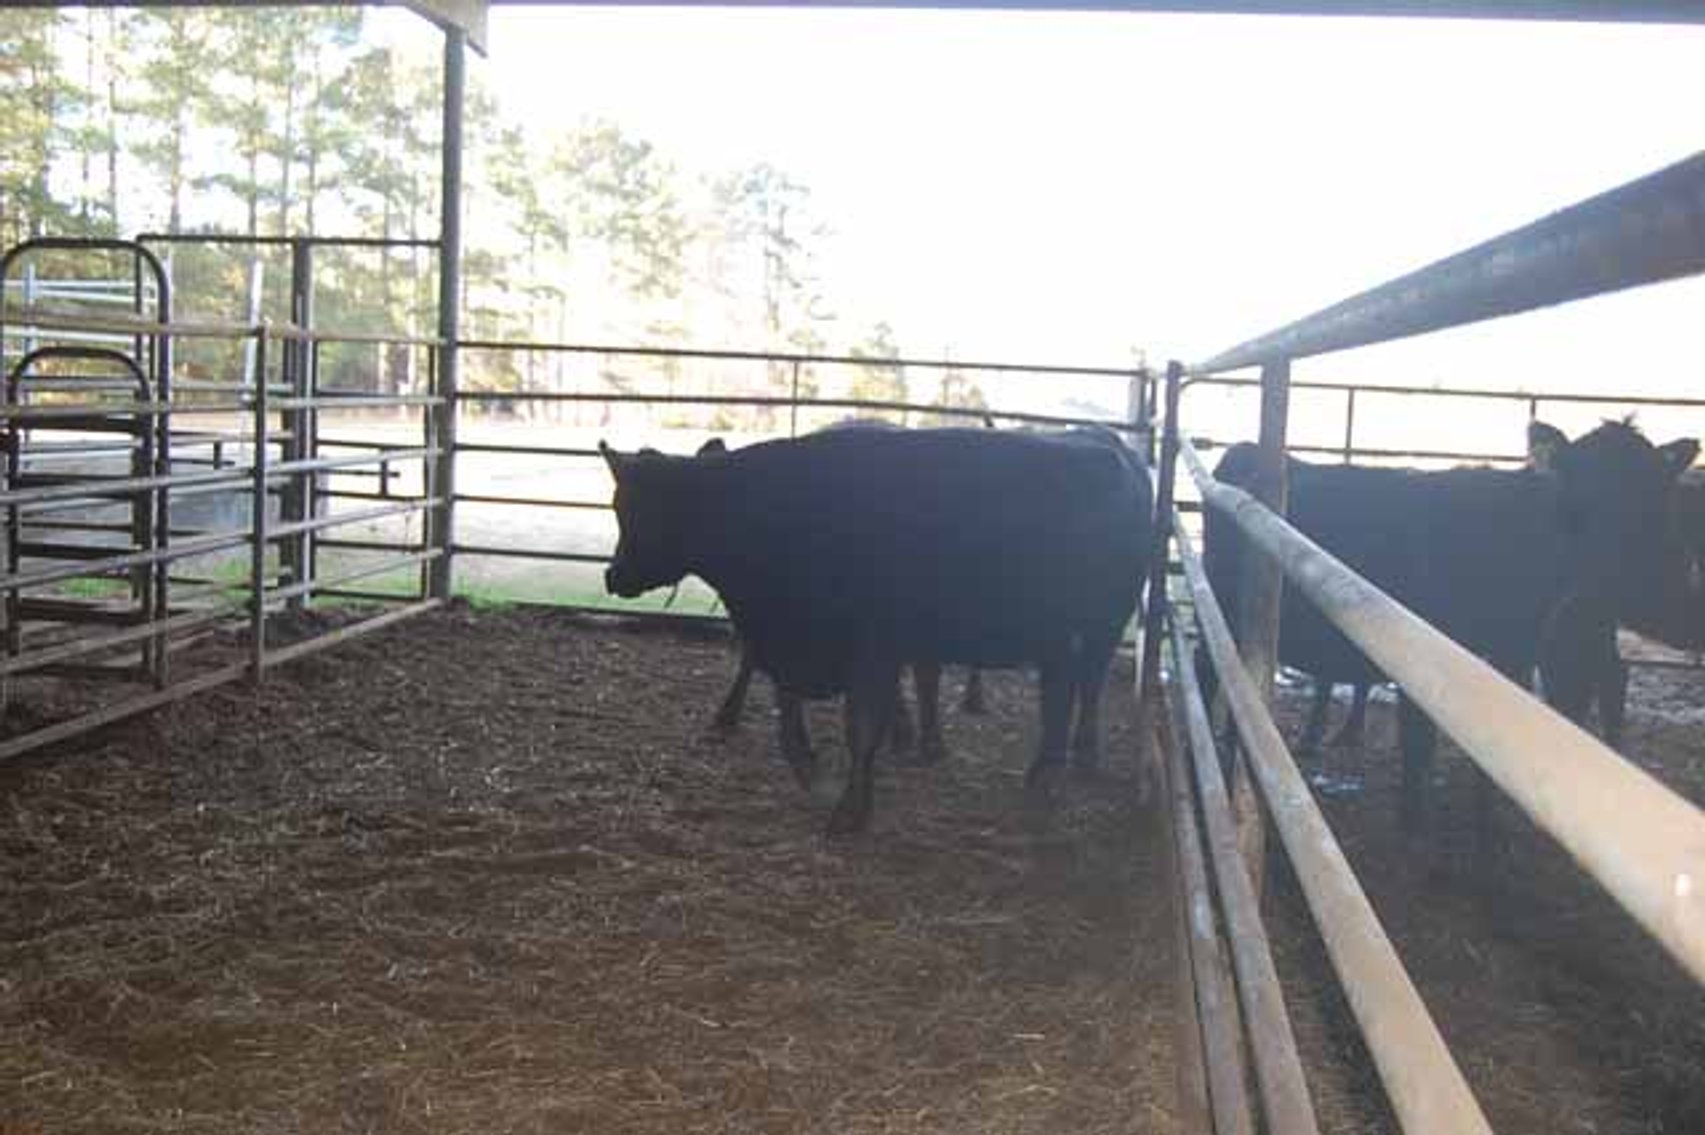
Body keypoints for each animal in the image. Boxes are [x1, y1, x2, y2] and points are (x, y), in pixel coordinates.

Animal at [602, 425, 1152, 835]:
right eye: (618, 506)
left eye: (636, 510)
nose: (613, 575)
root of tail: (1112, 447)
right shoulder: (792, 640)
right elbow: (788, 711)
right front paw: (814, 770)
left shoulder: (874, 645)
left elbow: (861, 726)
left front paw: (848, 808)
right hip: (1064, 639)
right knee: (1060, 695)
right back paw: (1044, 777)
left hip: (1101, 625)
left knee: (1083, 690)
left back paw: (1070, 767)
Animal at [1204, 419, 1698, 836]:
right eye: (1582, 495)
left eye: (1657, 498)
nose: (1678, 602)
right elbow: (1417, 741)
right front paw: (1412, 820)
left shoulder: (1512, 661)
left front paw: (1485, 822)